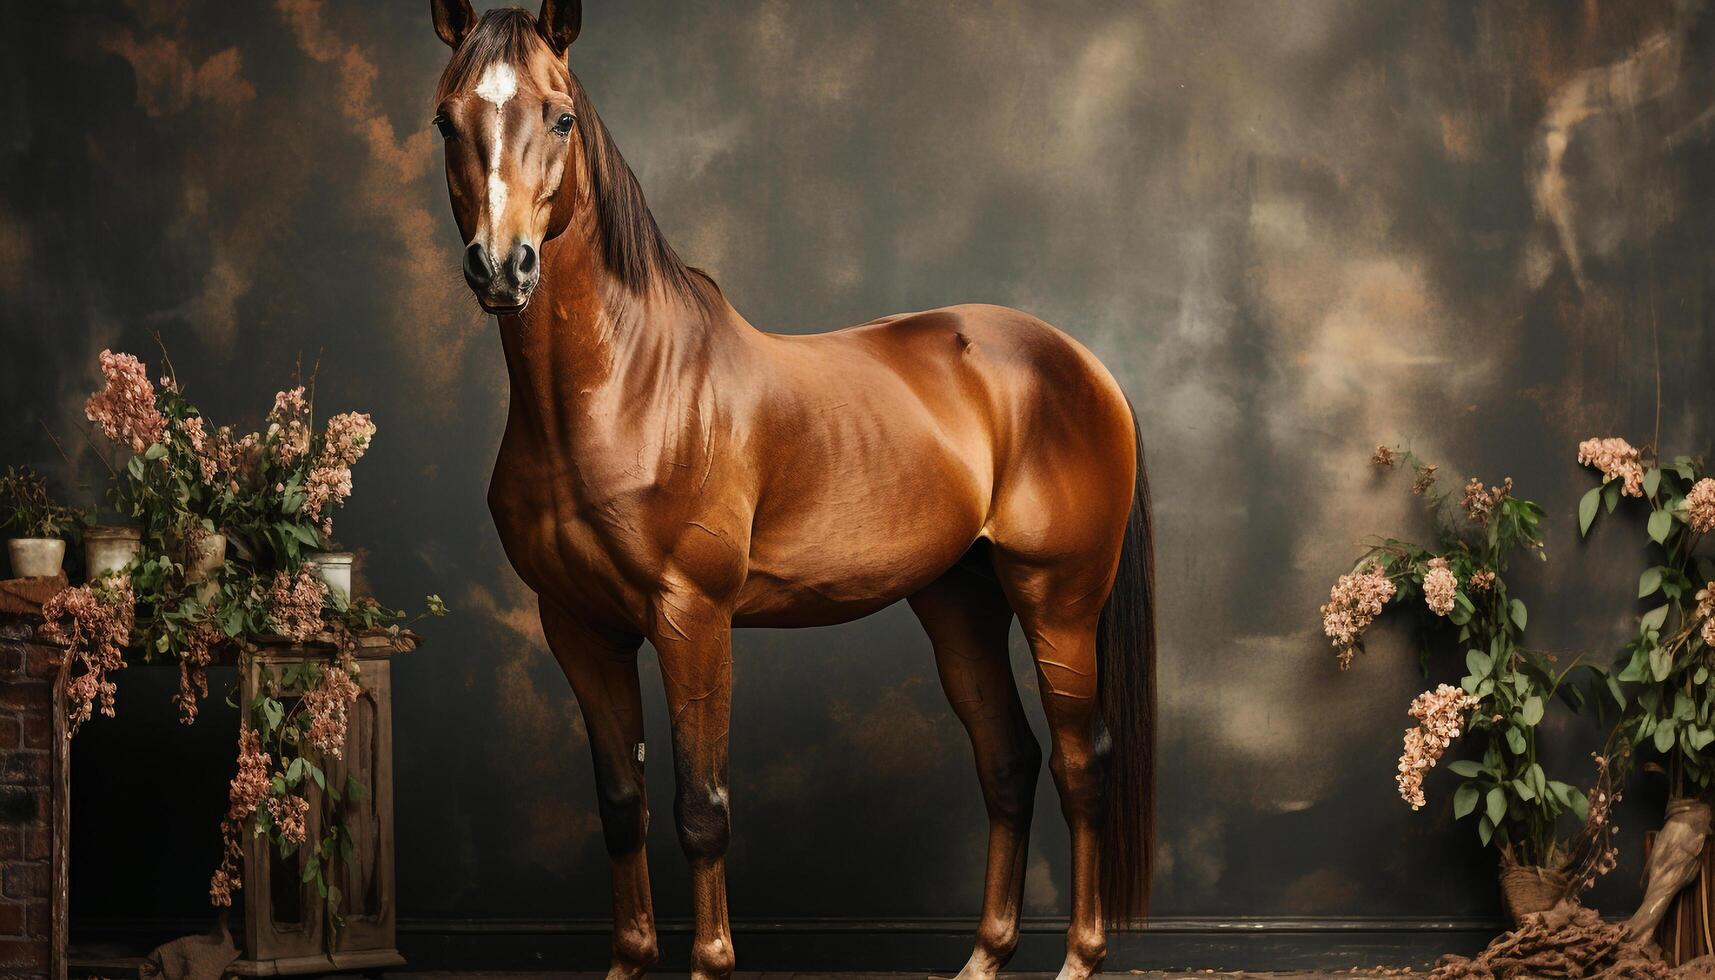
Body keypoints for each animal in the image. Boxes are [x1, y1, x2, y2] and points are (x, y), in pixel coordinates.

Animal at [427, 3, 1152, 974]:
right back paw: (983, 954)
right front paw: (630, 959)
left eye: (562, 117)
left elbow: (700, 809)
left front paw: (711, 959)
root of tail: (1080, 362)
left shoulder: (691, 619)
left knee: (1083, 762)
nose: (502, 268)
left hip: (1058, 602)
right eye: (446, 121)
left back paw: (1078, 954)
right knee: (1008, 761)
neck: (624, 388)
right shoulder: (578, 627)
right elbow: (621, 806)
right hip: (959, 600)